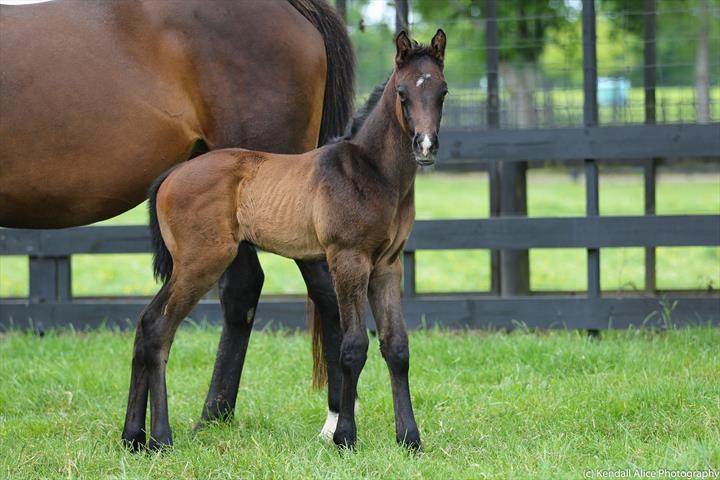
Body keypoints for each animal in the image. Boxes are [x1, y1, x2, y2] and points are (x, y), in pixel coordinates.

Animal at [123, 29, 448, 450]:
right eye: (403, 93)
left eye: (442, 91)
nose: (425, 146)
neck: (370, 172)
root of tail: (172, 175)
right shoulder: (348, 259)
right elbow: (353, 346)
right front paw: (345, 437)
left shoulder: (387, 265)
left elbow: (397, 347)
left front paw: (410, 438)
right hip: (202, 262)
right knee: (161, 332)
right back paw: (161, 438)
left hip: (188, 265)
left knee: (146, 325)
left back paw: (132, 437)